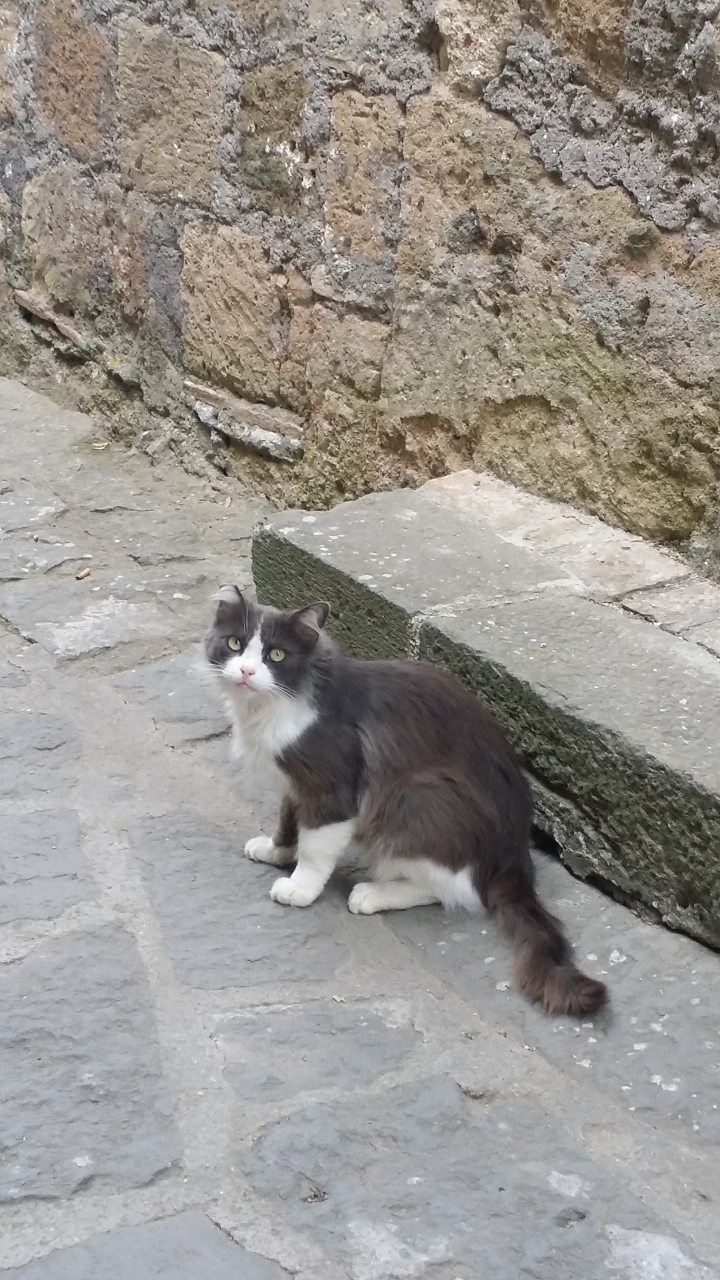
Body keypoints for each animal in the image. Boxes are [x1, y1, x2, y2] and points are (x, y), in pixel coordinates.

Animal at [202, 586, 604, 1018]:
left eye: (276, 655)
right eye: (235, 644)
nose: (246, 672)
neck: (278, 705)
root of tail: (514, 857)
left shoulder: (333, 786)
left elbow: (315, 849)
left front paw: (299, 888)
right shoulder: (297, 784)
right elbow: (289, 820)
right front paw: (276, 850)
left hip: (417, 797)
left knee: (459, 888)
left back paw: (373, 893)